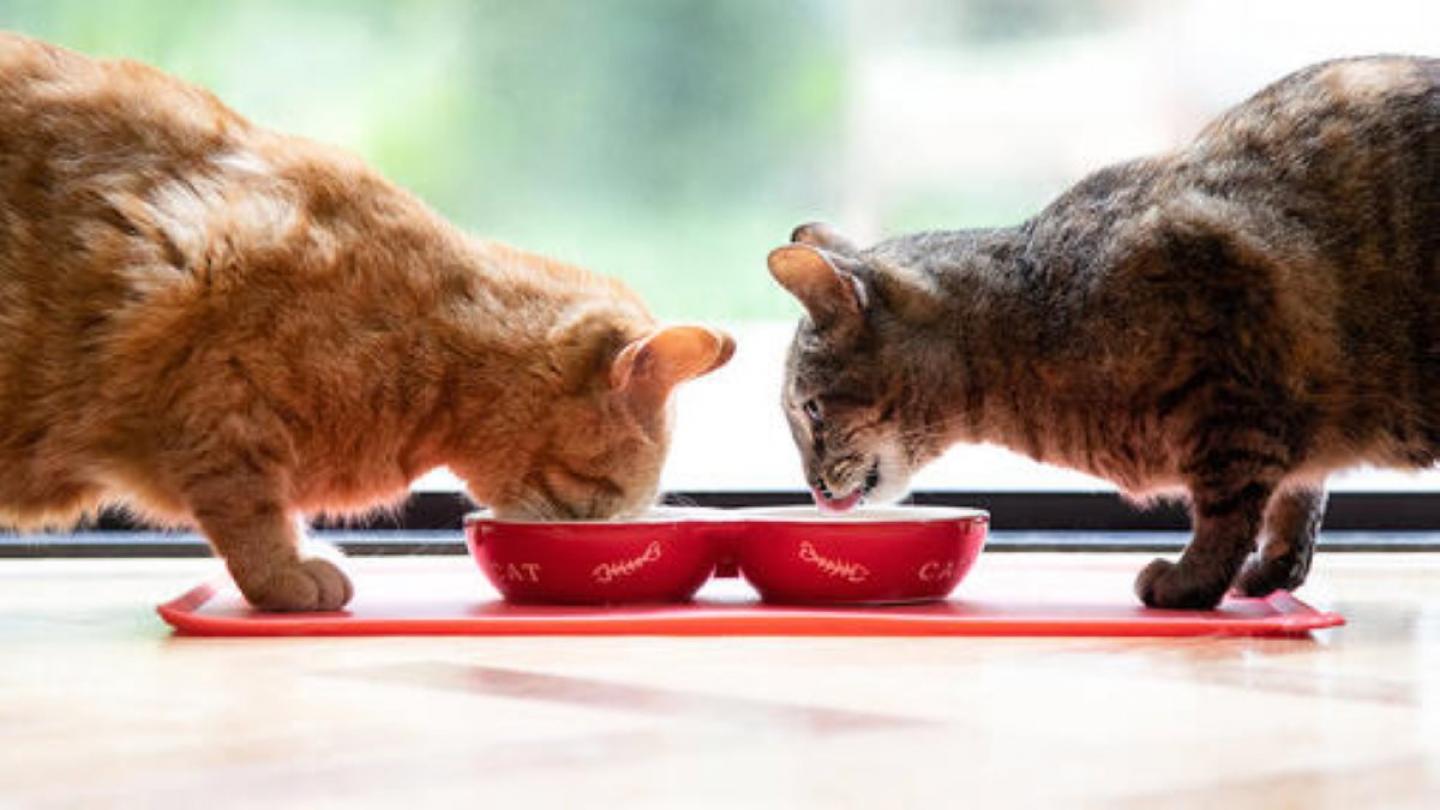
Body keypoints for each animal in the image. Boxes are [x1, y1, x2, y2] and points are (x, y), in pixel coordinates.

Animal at [0, 34, 737, 608]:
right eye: (606, 493)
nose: (603, 524)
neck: (439, 355)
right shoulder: (216, 403)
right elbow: (249, 510)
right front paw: (285, 574)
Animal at [777, 55, 1440, 605]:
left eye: (811, 410)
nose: (813, 488)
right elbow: (1297, 500)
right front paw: (1272, 571)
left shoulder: (1234, 401)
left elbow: (1228, 513)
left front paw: (1191, 581)